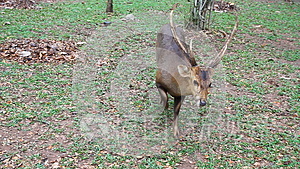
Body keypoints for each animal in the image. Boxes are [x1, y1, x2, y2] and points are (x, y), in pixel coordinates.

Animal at [156, 4, 238, 137]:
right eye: (195, 81)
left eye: (210, 84)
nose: (203, 102)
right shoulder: (158, 80)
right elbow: (165, 99)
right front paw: (163, 110)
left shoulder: (181, 95)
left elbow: (176, 111)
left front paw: (176, 132)